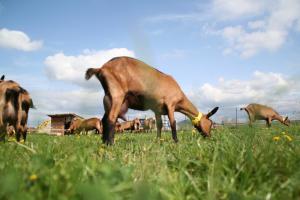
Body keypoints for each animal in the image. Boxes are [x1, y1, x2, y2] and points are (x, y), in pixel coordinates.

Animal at [85, 57, 219, 145]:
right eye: (210, 123)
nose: (210, 137)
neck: (180, 97)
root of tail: (101, 68)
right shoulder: (170, 104)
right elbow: (173, 123)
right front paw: (176, 141)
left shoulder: (157, 110)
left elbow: (159, 125)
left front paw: (158, 140)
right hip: (117, 95)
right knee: (111, 118)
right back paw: (110, 144)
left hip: (108, 98)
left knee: (104, 120)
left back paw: (104, 142)